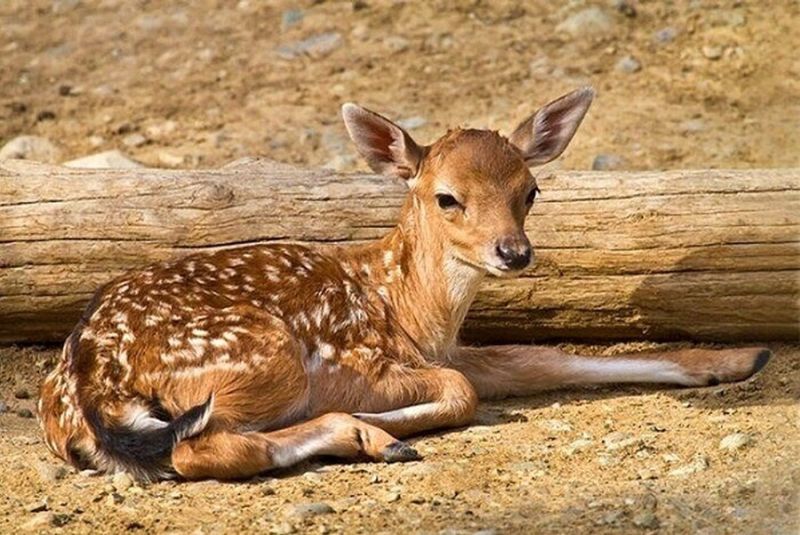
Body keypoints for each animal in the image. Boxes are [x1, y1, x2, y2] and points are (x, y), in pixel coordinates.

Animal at [37, 88, 768, 482]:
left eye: (530, 190)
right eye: (447, 197)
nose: (514, 252)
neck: (410, 310)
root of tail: (86, 390)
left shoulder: (448, 350)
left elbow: (545, 358)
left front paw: (738, 358)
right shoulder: (361, 360)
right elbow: (463, 390)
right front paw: (384, 424)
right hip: (265, 354)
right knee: (198, 450)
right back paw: (372, 437)